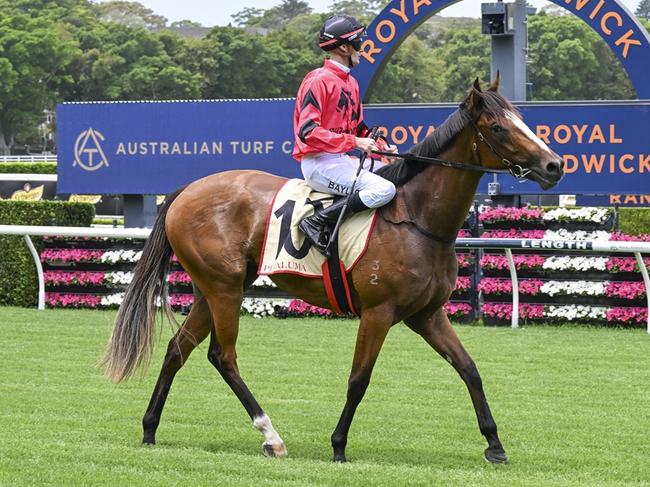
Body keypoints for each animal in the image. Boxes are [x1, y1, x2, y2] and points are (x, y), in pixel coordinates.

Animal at [101, 77, 560, 466]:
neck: (416, 218)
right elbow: (359, 379)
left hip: (212, 289)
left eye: (523, 119)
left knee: (178, 349)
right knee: (222, 355)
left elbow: (469, 369)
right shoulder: (378, 312)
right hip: (224, 288)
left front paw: (495, 444)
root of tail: (186, 190)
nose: (554, 166)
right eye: (498, 127)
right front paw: (339, 445)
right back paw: (271, 436)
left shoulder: (427, 315)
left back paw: (150, 429)